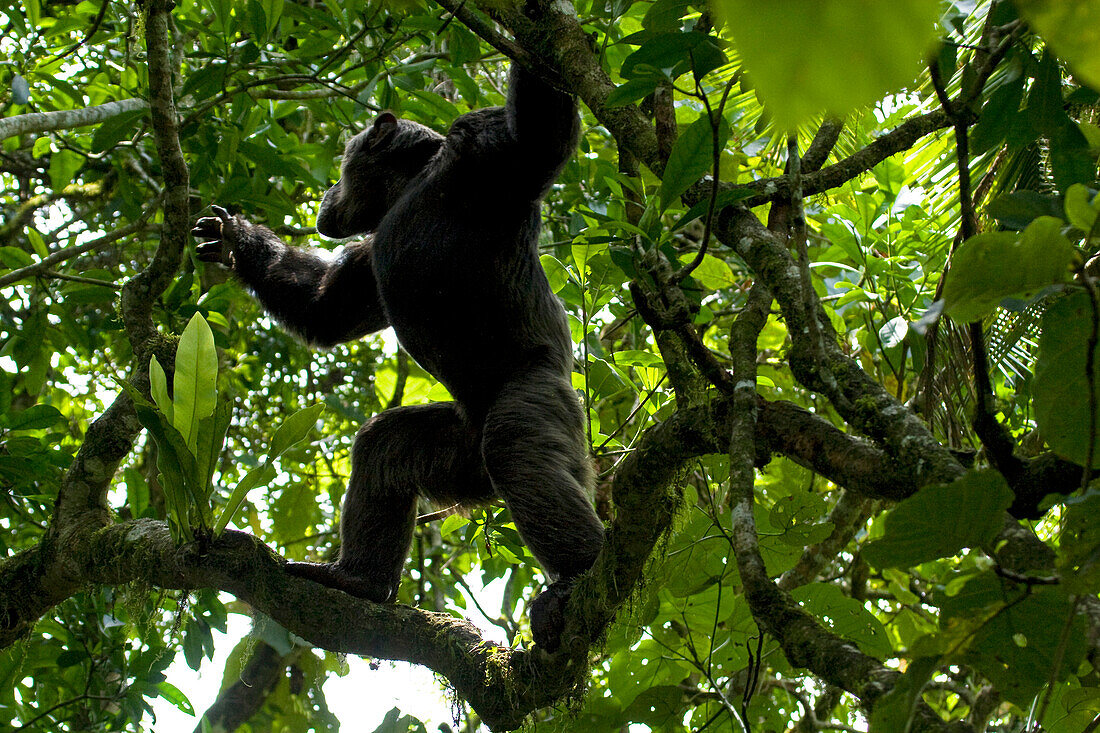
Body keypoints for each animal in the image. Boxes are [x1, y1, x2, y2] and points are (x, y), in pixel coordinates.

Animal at [189, 64, 602, 647]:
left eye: (343, 161)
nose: (326, 190)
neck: (410, 188)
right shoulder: (366, 255)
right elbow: (326, 310)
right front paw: (234, 239)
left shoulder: (484, 148)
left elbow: (540, 135)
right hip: (460, 458)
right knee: (386, 447)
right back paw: (358, 577)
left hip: (543, 397)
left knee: (518, 449)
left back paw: (576, 575)